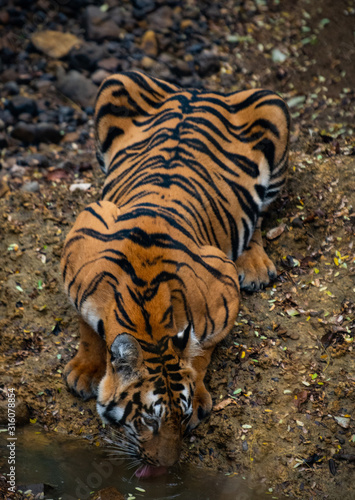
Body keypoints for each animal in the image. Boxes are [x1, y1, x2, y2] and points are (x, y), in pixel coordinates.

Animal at [61, 69, 290, 476]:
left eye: (181, 418)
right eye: (148, 419)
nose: (166, 469)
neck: (146, 315)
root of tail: (195, 90)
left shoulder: (223, 285)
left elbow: (203, 352)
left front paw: (198, 392)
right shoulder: (80, 244)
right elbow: (87, 328)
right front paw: (85, 371)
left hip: (274, 109)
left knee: (259, 214)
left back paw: (255, 266)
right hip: (117, 82)